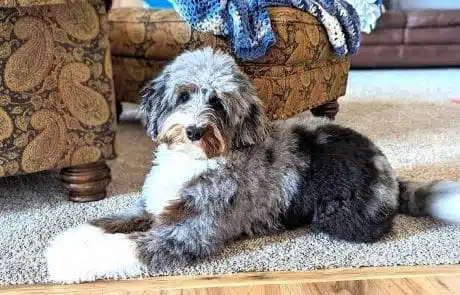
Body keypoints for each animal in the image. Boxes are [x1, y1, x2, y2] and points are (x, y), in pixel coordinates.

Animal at [46, 47, 460, 284]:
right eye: (184, 95)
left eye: (217, 102)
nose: (194, 130)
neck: (197, 161)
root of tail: (388, 171)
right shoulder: (151, 206)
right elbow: (108, 221)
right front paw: (70, 240)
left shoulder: (192, 231)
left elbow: (130, 247)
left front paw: (68, 261)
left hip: (342, 217)